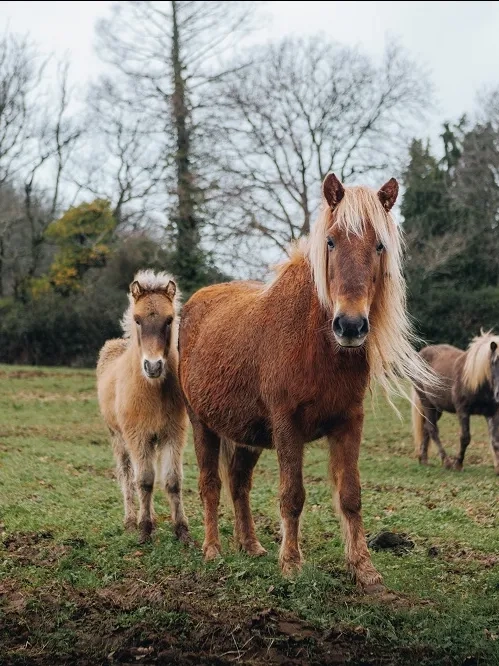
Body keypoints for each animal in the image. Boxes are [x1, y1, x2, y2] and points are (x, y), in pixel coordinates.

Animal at [97, 270, 190, 544]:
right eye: (137, 320)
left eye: (169, 320)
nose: (154, 366)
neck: (153, 390)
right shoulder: (138, 437)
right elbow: (145, 481)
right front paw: (144, 529)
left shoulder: (172, 434)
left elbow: (172, 481)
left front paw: (182, 531)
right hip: (118, 438)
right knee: (127, 475)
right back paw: (130, 520)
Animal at [178, 173, 435, 593]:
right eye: (330, 241)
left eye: (379, 244)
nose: (351, 325)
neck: (314, 342)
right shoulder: (287, 426)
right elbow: (292, 495)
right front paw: (291, 564)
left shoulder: (349, 422)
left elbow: (350, 495)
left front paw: (364, 569)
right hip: (203, 424)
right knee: (210, 484)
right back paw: (212, 550)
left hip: (247, 435)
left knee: (239, 483)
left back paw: (251, 546)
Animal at [412, 331, 499, 473]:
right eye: (493, 362)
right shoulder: (462, 411)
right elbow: (465, 438)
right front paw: (458, 464)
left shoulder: (492, 413)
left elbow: (495, 440)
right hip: (426, 403)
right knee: (432, 429)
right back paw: (446, 462)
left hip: (437, 407)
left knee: (426, 428)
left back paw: (423, 459)